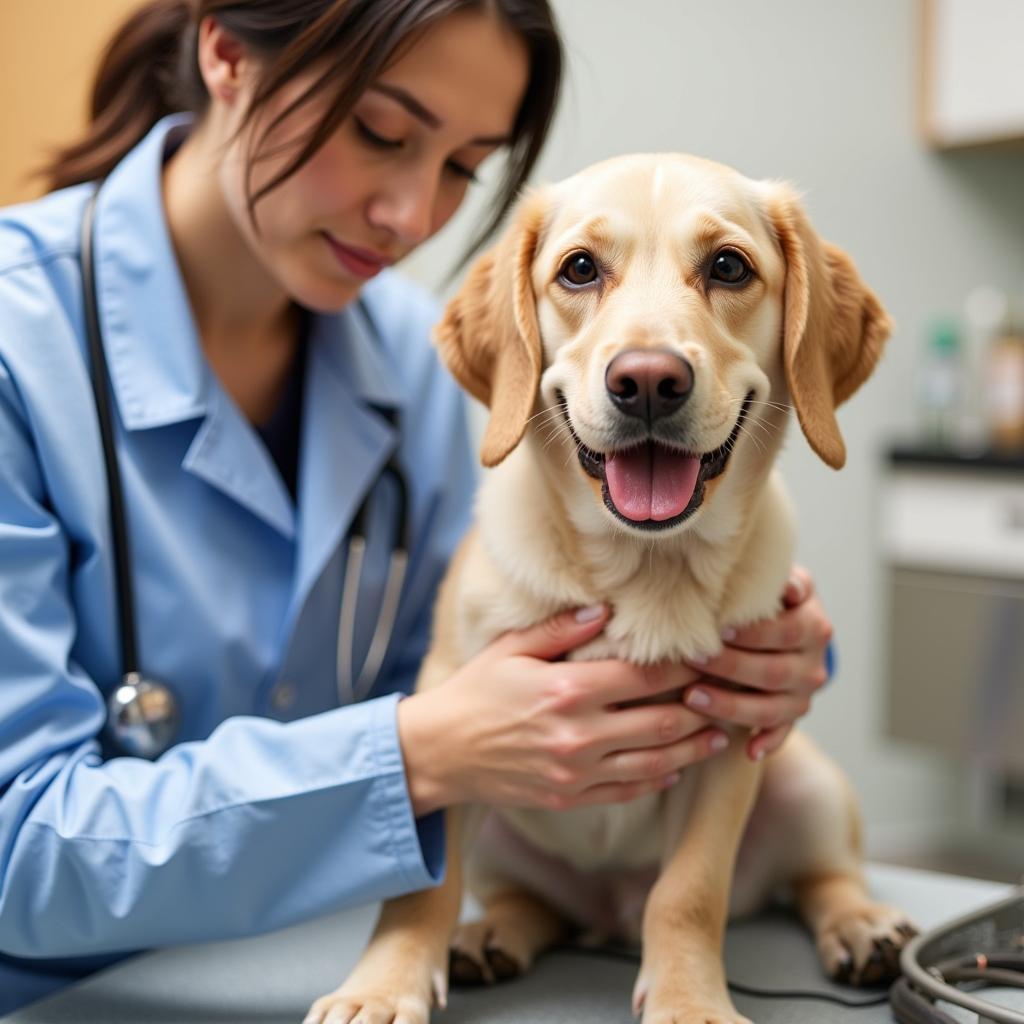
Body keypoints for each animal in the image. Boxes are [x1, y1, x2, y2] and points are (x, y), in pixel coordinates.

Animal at [301, 151, 913, 1024]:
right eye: (580, 269)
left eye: (729, 267)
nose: (649, 381)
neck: (645, 569)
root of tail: (606, 917)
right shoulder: (453, 706)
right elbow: (423, 894)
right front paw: (382, 986)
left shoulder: (733, 738)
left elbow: (688, 894)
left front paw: (691, 999)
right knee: (531, 902)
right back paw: (492, 935)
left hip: (806, 781)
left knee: (820, 876)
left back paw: (862, 927)